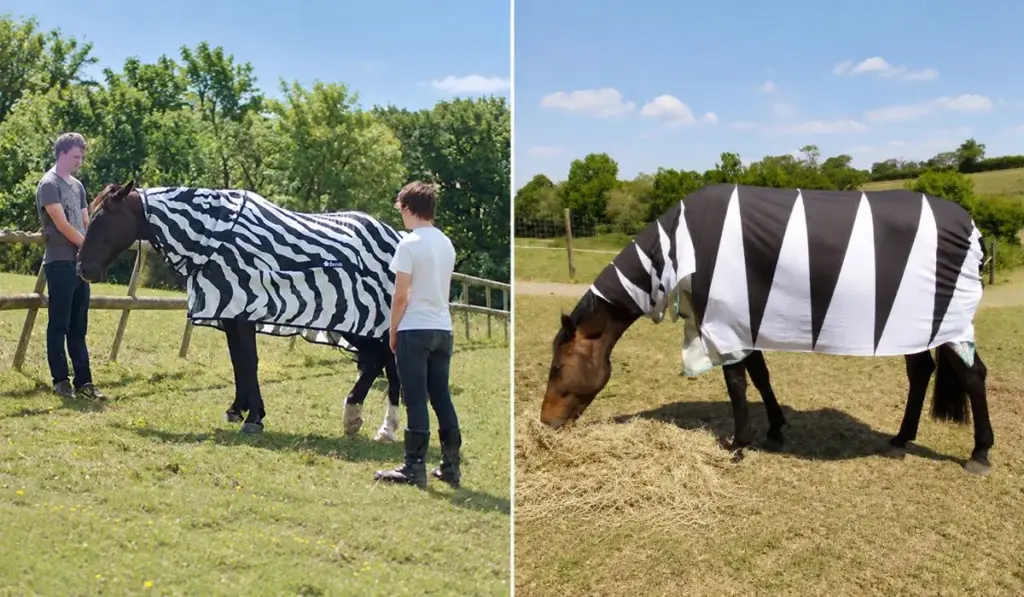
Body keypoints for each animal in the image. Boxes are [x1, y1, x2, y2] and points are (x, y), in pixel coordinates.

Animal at [78, 181, 404, 437]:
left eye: (103, 217)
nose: (83, 269)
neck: (217, 239)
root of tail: (395, 237)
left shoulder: (244, 309)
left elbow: (249, 361)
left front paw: (255, 417)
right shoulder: (231, 313)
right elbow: (238, 362)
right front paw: (238, 409)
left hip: (368, 321)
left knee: (384, 362)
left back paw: (375, 424)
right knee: (379, 362)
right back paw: (361, 420)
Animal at [540, 183, 995, 476]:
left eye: (557, 369)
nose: (545, 425)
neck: (678, 252)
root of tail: (972, 226)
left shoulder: (724, 321)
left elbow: (737, 384)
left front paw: (739, 445)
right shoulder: (743, 321)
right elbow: (760, 375)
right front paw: (775, 429)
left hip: (948, 323)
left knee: (973, 375)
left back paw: (980, 453)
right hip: (911, 325)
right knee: (921, 373)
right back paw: (901, 439)